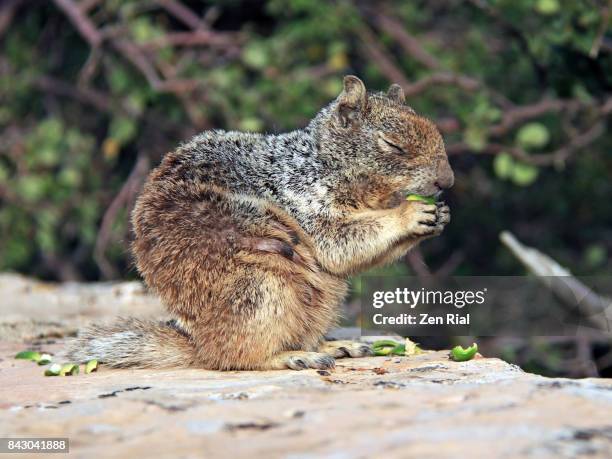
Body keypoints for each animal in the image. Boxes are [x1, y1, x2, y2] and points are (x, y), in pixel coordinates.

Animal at [64, 74, 452, 370]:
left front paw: (440, 215)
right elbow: (341, 243)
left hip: (320, 303)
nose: (446, 181)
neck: (323, 164)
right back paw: (292, 357)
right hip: (260, 291)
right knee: (236, 357)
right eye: (392, 145)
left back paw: (333, 347)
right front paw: (411, 214)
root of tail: (198, 344)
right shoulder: (304, 204)